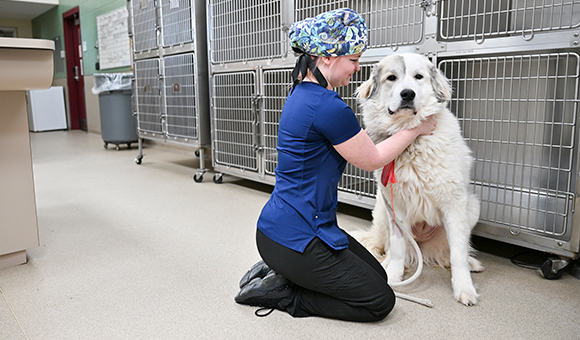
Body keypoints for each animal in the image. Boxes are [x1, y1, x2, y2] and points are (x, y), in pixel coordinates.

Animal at [354, 53, 484, 306]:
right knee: (392, 248)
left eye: (418, 77)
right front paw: (393, 276)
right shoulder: (395, 206)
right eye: (391, 78)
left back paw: (464, 263)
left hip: (472, 206)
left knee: (450, 251)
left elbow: (458, 251)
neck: (410, 140)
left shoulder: (454, 204)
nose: (408, 94)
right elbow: (397, 247)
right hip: (383, 211)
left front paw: (464, 288)